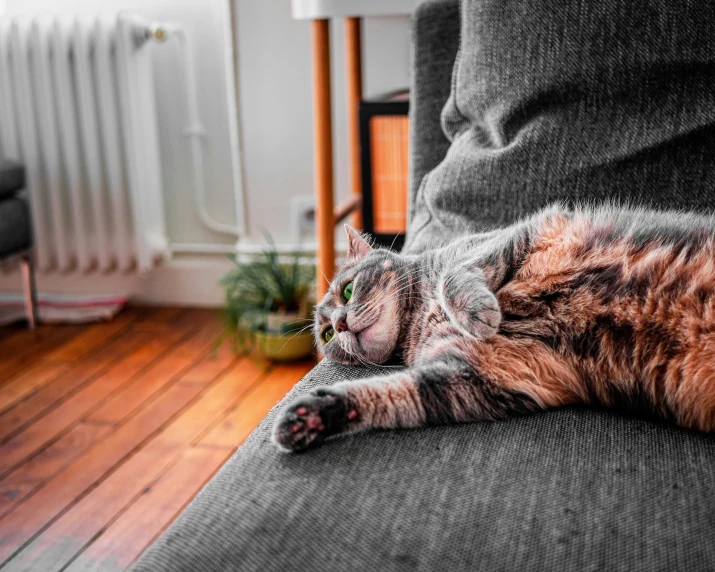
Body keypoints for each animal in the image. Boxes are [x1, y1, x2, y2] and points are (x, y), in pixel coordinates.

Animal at [272, 204, 715, 452]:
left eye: (347, 290)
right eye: (327, 336)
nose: (340, 323)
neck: (418, 320)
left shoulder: (510, 236)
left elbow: (455, 277)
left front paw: (477, 311)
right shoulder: (475, 377)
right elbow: (385, 393)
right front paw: (311, 418)